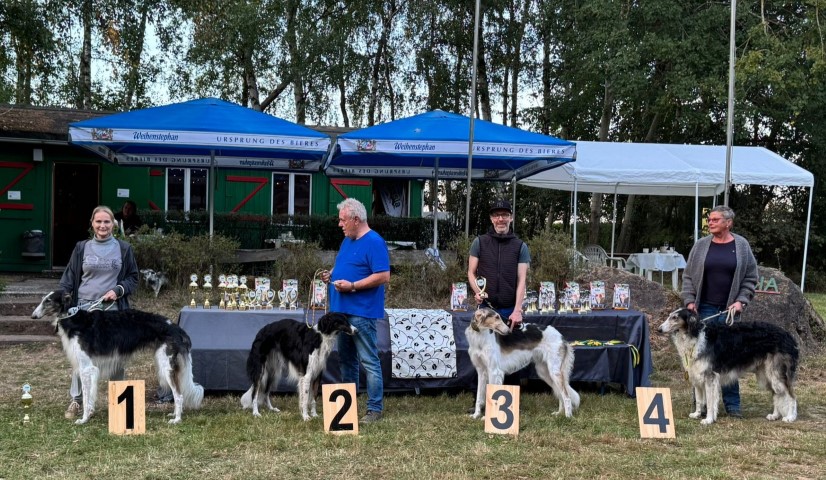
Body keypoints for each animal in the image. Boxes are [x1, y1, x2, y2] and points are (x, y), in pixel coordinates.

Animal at [31, 290, 204, 425]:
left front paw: (84, 419)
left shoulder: (87, 368)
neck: (73, 318)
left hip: (166, 366)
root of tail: (176, 328)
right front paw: (89, 415)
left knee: (179, 395)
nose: (33, 316)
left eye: (48, 301)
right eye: (43, 299)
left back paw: (177, 419)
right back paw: (174, 414)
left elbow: (86, 397)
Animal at [658, 308, 799, 424]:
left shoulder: (710, 376)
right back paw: (775, 415)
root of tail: (789, 336)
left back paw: (790, 417)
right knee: (777, 394)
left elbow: (710, 402)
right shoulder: (696, 375)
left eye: (675, 317)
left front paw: (708, 419)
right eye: (670, 316)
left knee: (790, 395)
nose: (659, 329)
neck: (696, 335)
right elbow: (699, 400)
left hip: (776, 374)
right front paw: (697, 414)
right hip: (766, 375)